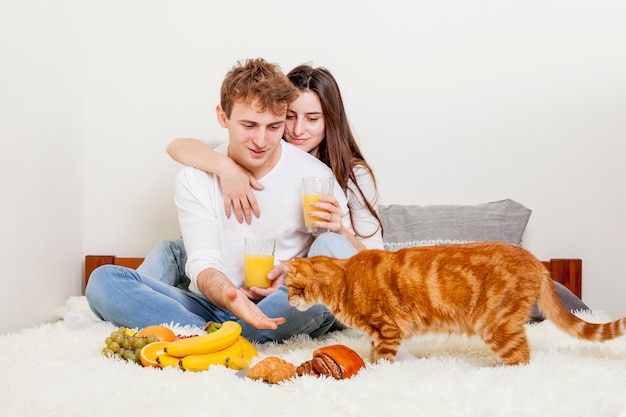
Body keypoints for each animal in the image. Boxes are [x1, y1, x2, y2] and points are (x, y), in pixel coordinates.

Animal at [282, 240, 624, 364]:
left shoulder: (387, 330)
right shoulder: (378, 334)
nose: (286, 300)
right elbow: (372, 353)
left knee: (522, 358)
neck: (343, 279)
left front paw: (377, 373)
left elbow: (383, 359)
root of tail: (535, 260)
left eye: (289, 288)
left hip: (496, 325)